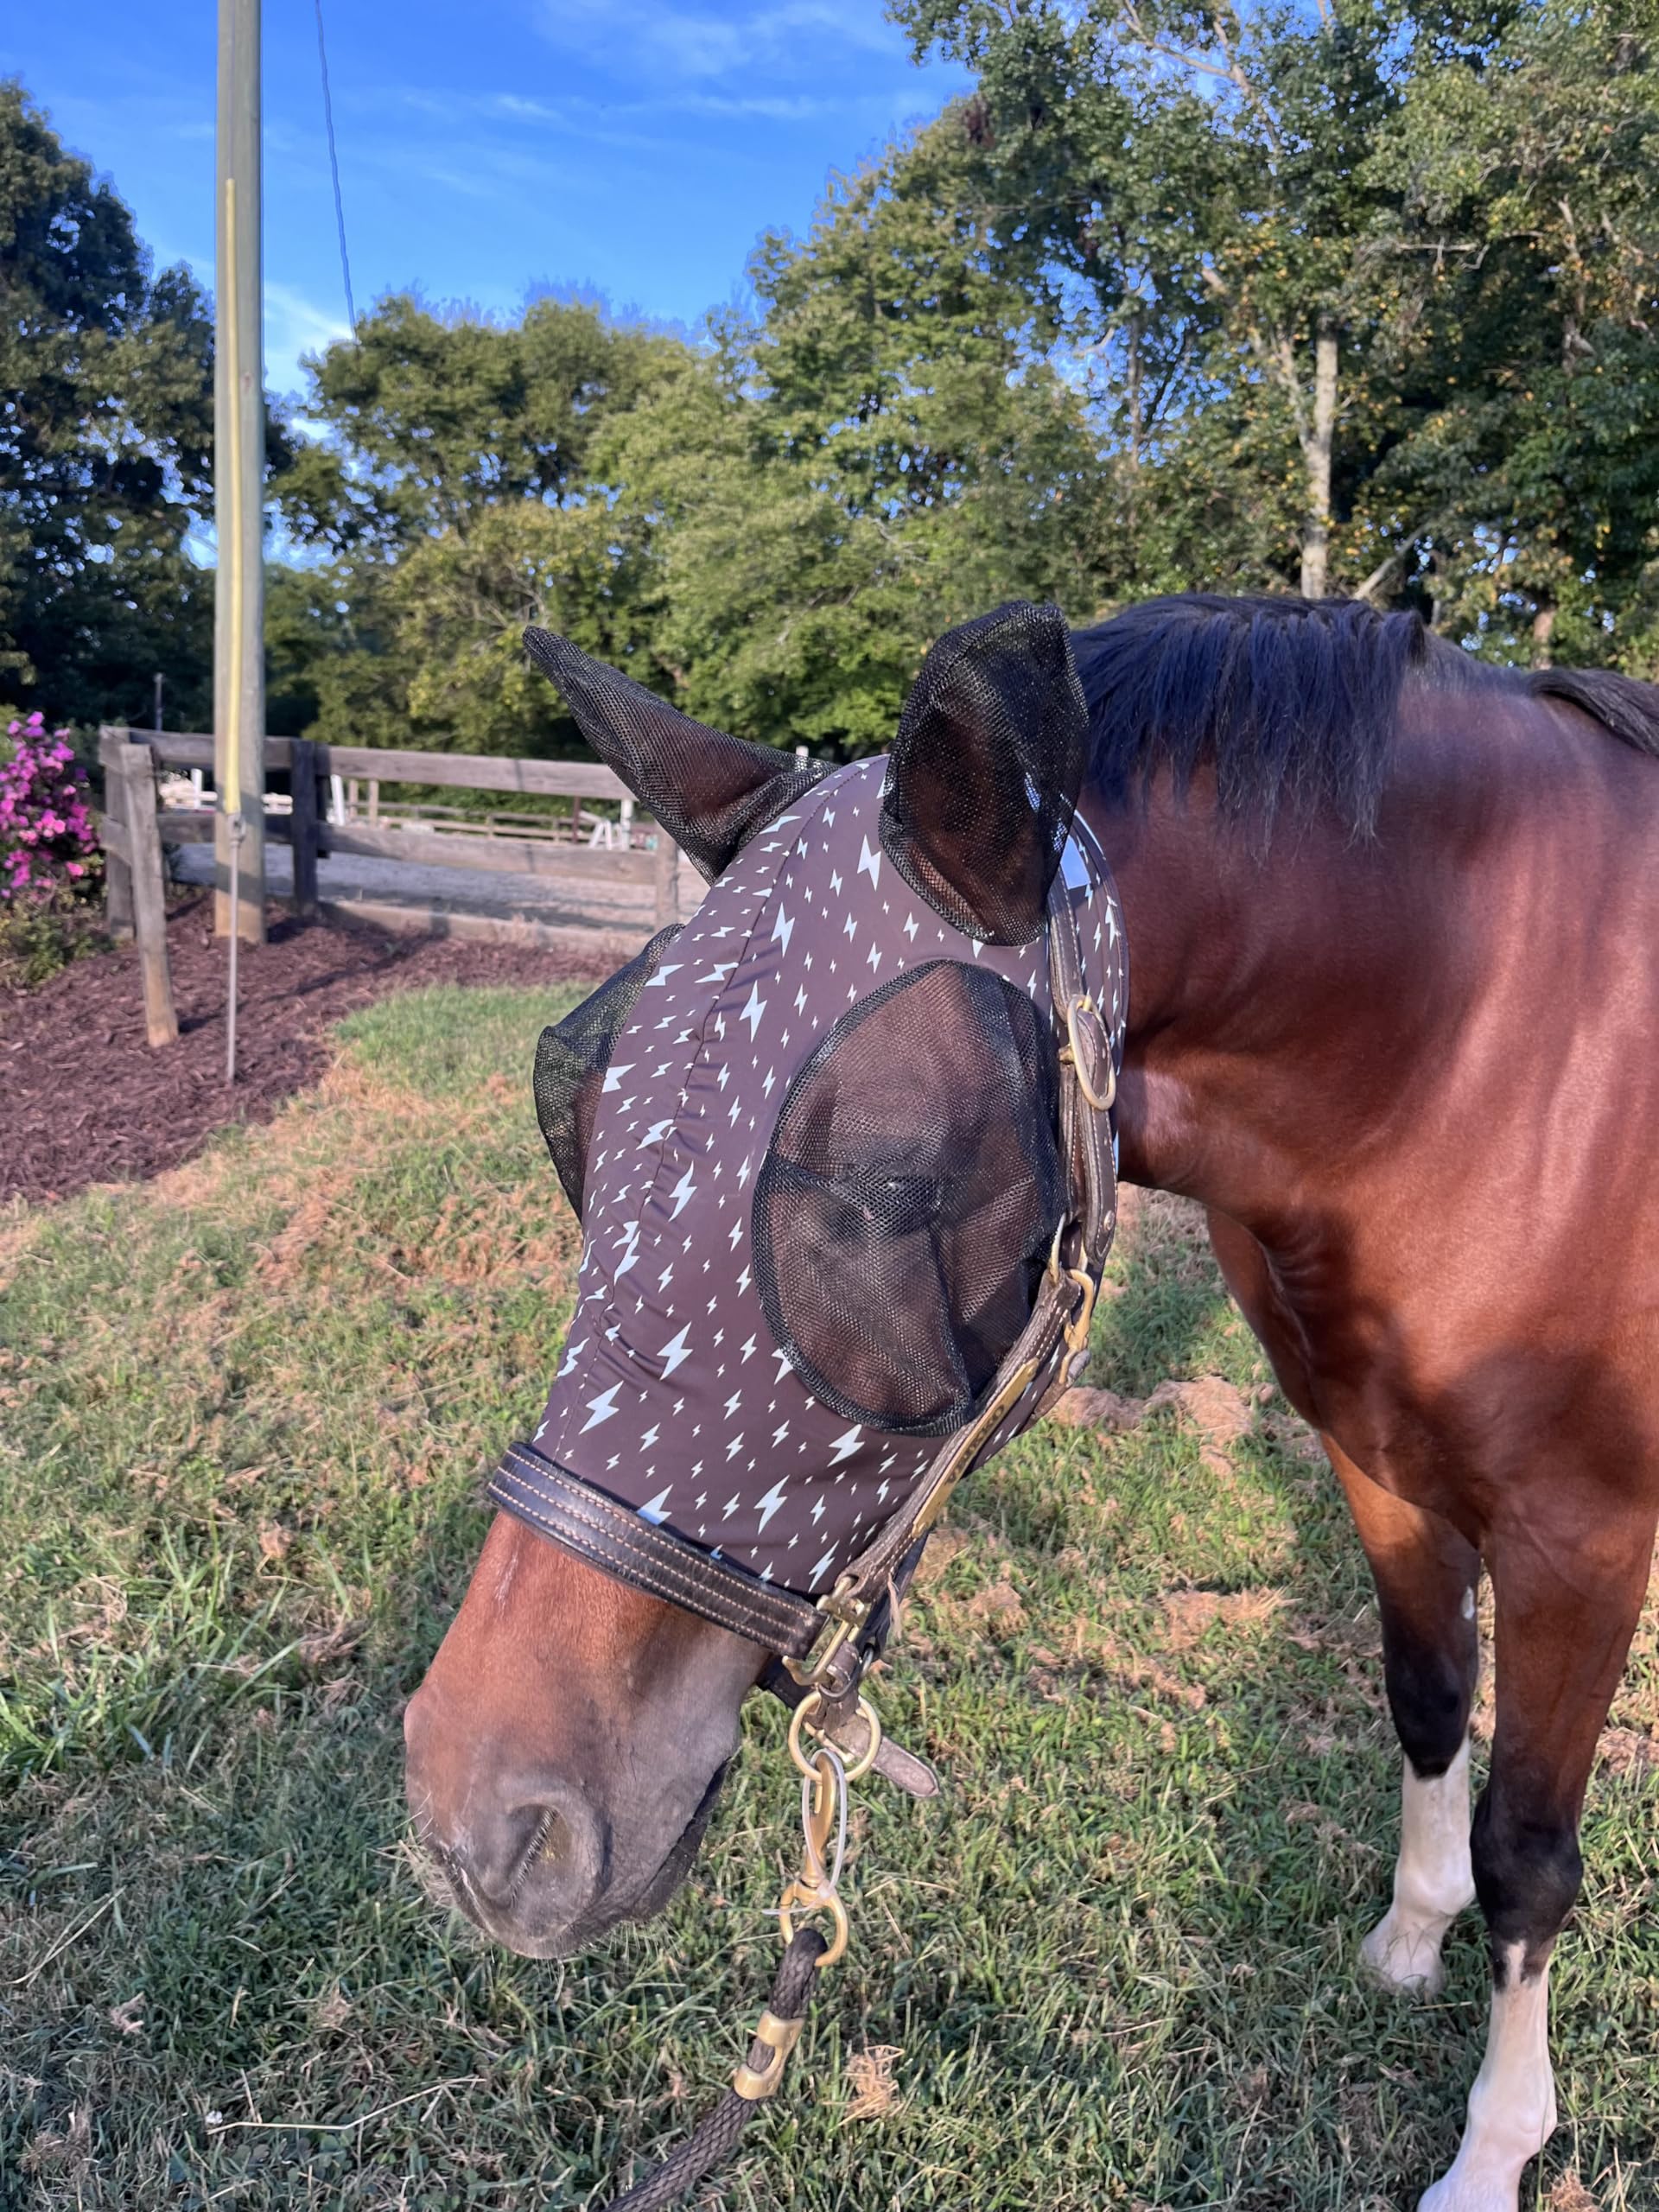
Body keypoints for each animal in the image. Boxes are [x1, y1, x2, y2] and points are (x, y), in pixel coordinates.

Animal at [403, 592, 1659, 2212]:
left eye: (886, 1190)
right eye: (573, 1115)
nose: (480, 1825)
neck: (1479, 1046)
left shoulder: (1581, 1535)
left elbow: (1531, 1848)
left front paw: (1495, 2149)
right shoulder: (1374, 1453)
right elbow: (1429, 1701)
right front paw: (1409, 1938)